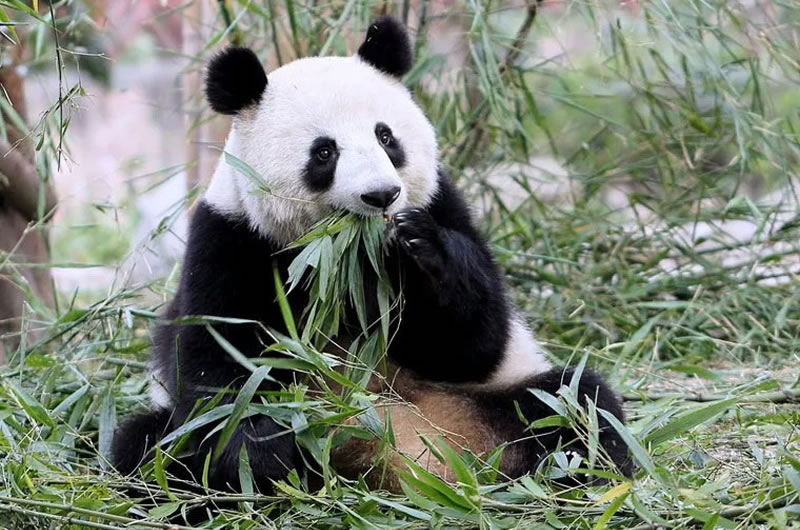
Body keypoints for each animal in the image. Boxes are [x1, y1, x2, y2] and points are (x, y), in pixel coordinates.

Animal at [112, 16, 631, 494]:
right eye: (324, 152)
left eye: (386, 137)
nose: (381, 195)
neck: (344, 257)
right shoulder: (232, 238)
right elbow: (218, 360)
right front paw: (261, 452)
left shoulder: (442, 204)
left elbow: (474, 342)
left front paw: (421, 248)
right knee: (152, 445)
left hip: (495, 400)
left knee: (576, 405)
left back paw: (582, 476)